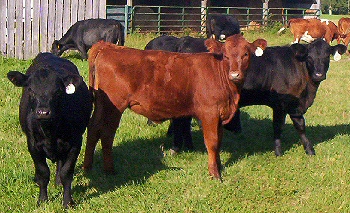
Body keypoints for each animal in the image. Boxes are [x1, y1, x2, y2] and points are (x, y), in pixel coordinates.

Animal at [8, 52, 93, 207]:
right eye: (31, 90)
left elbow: (67, 172)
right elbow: (43, 172)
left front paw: (68, 202)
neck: (50, 131)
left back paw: (58, 182)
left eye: (58, 91)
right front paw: (42, 200)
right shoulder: (33, 145)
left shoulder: (75, 143)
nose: (43, 112)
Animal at [82, 35, 268, 180]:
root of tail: (108, 46)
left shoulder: (220, 114)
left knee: (93, 129)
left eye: (246, 54)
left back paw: (87, 168)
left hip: (101, 105)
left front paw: (220, 166)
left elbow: (219, 141)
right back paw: (109, 170)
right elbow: (213, 142)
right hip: (113, 106)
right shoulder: (209, 113)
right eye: (225, 56)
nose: (235, 74)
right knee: (107, 133)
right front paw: (215, 174)